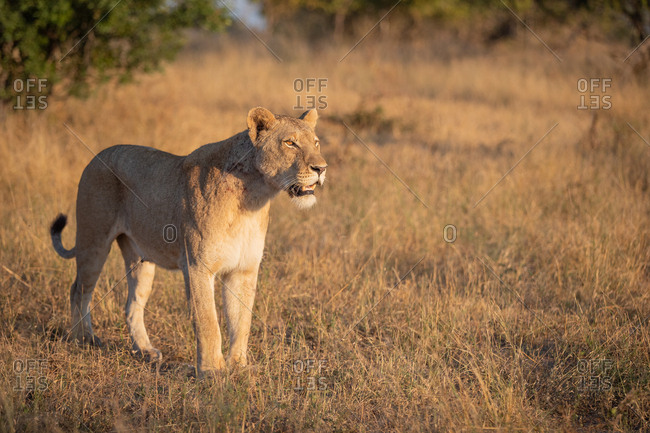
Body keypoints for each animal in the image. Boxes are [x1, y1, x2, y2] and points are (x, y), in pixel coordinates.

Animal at [50, 107, 327, 376]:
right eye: (290, 143)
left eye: (316, 143)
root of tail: (97, 156)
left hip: (140, 258)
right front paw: (213, 372)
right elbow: (208, 322)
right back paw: (83, 339)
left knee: (132, 305)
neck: (254, 197)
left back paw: (144, 350)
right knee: (79, 290)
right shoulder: (197, 267)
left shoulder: (243, 270)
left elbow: (241, 322)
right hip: (93, 241)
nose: (321, 168)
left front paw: (239, 367)